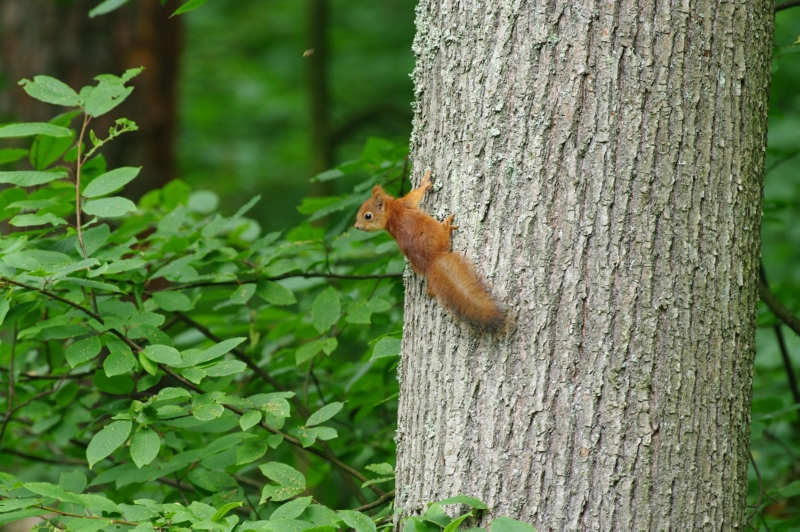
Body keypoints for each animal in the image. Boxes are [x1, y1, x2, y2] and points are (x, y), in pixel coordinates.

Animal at [354, 170, 504, 330]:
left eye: (367, 216)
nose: (356, 227)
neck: (390, 213)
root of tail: (433, 259)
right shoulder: (406, 202)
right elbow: (417, 193)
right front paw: (425, 183)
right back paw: (447, 227)